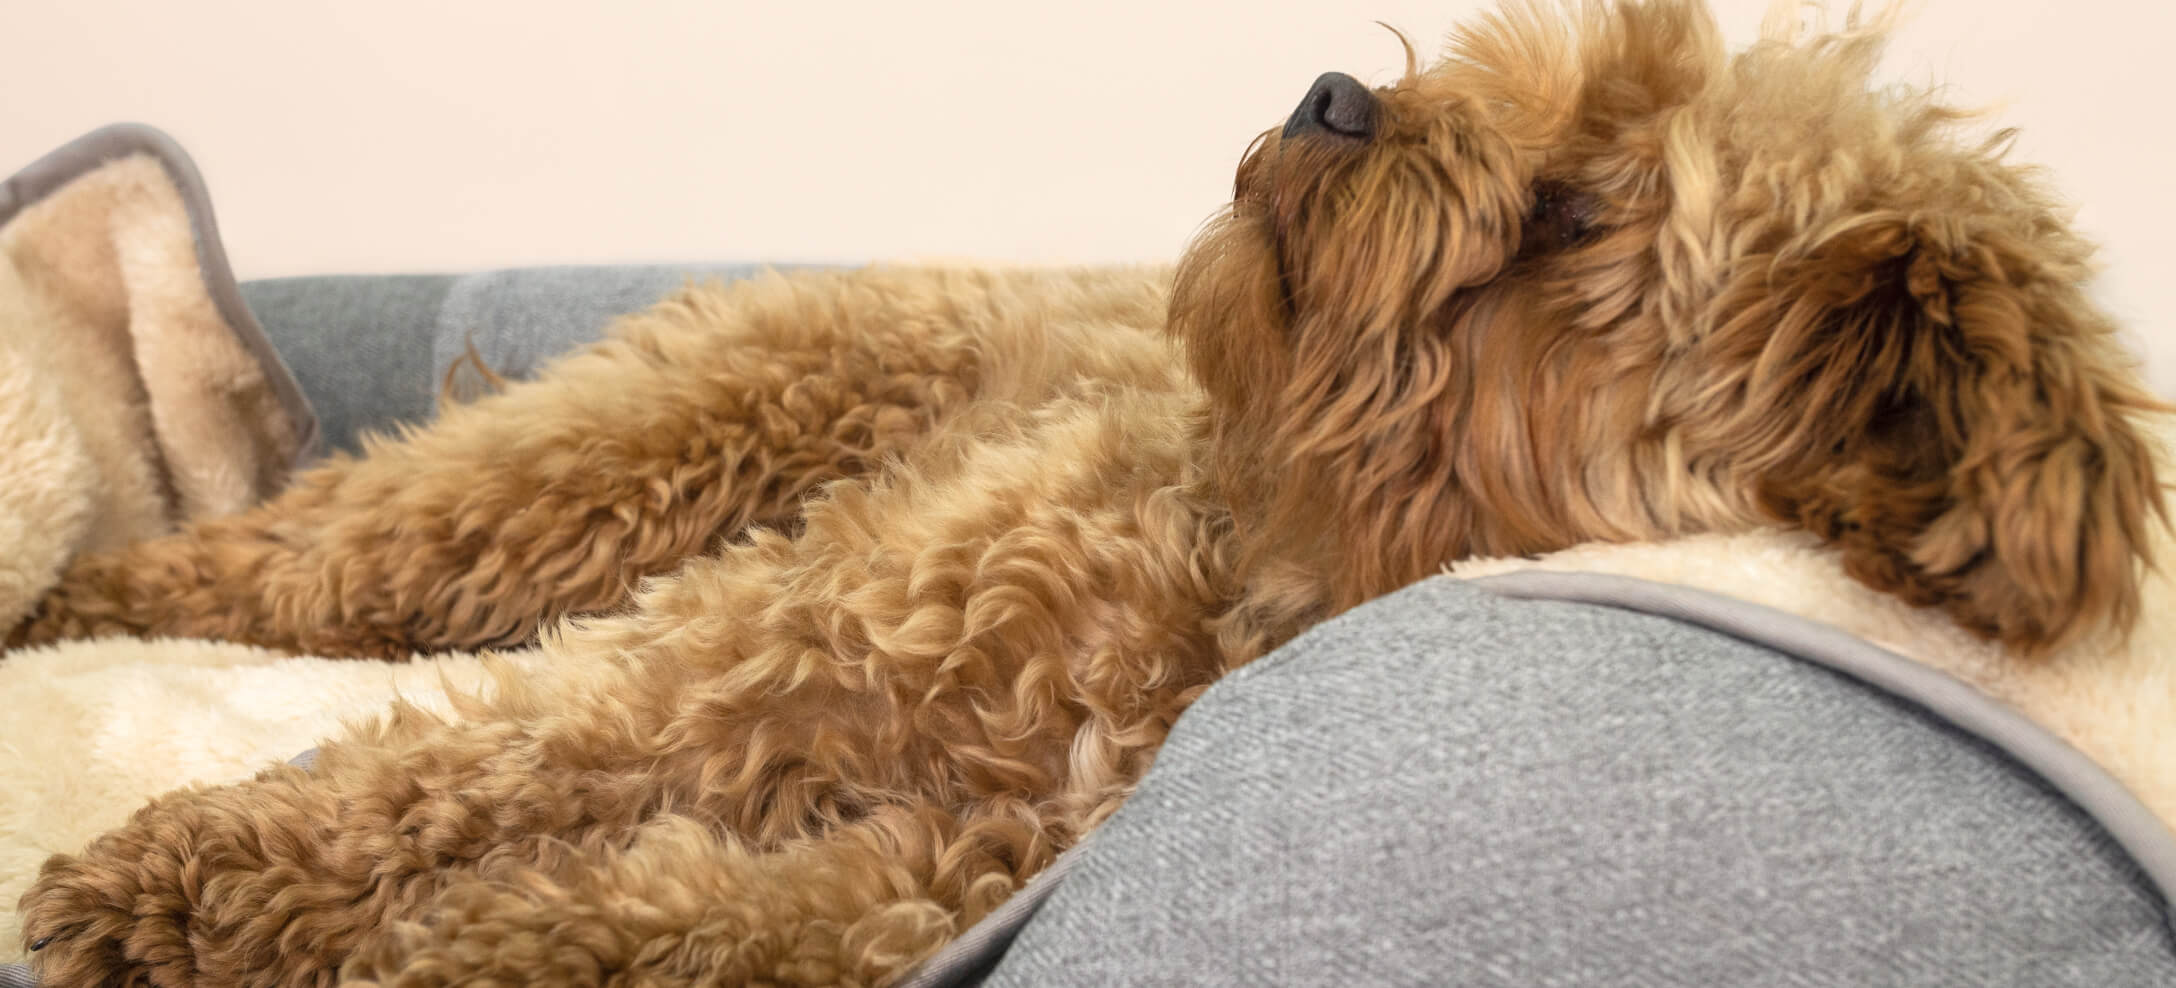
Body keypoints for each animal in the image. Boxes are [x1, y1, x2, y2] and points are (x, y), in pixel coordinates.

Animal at [12, 1, 2158, 987]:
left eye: (1569, 218)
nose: (1331, 95)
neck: (1256, 570)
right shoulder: (763, 651)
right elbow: (496, 757)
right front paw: (180, 873)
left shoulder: (914, 876)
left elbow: (639, 917)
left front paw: (414, 945)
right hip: (656, 439)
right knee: (313, 551)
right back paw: (85, 594)